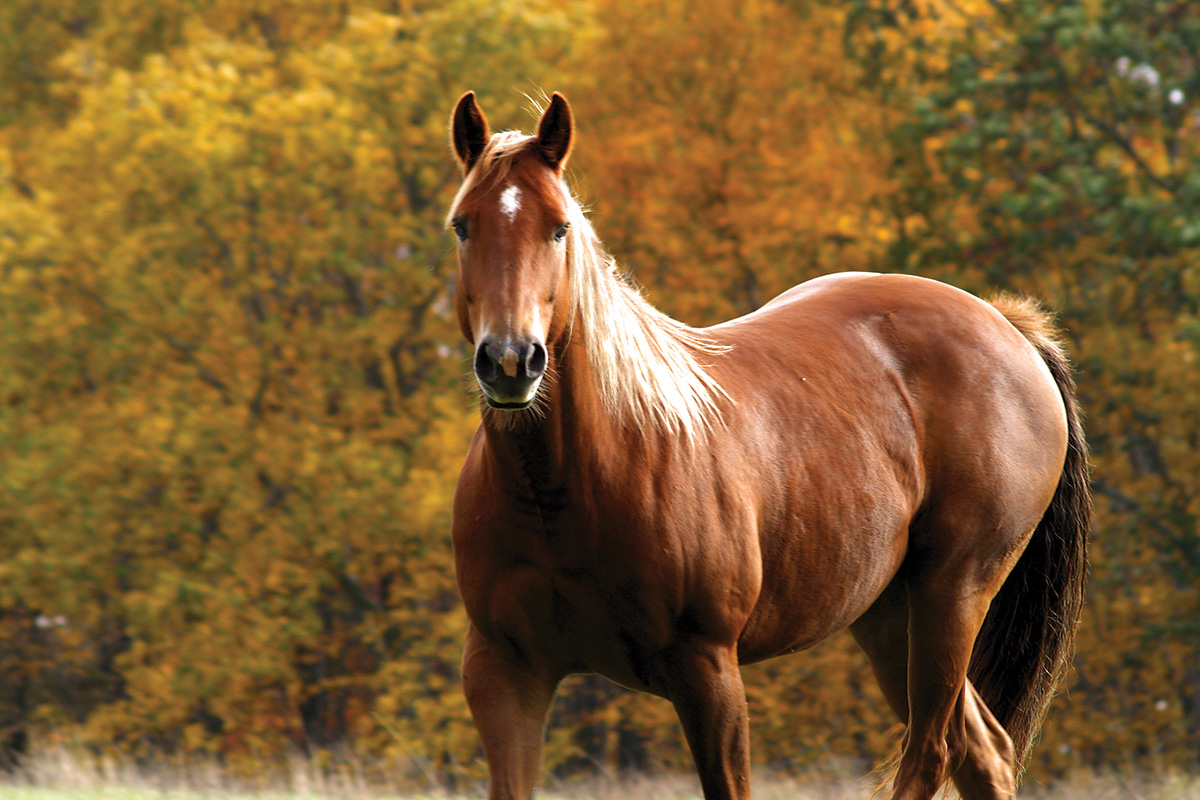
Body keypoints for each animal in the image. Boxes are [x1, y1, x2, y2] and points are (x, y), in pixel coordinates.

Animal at [444, 90, 1089, 800]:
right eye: (462, 226)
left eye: (559, 228)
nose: (511, 361)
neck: (568, 486)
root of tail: (1006, 324)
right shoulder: (504, 673)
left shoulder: (708, 671)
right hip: (891, 613)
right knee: (985, 752)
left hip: (953, 593)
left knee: (934, 750)